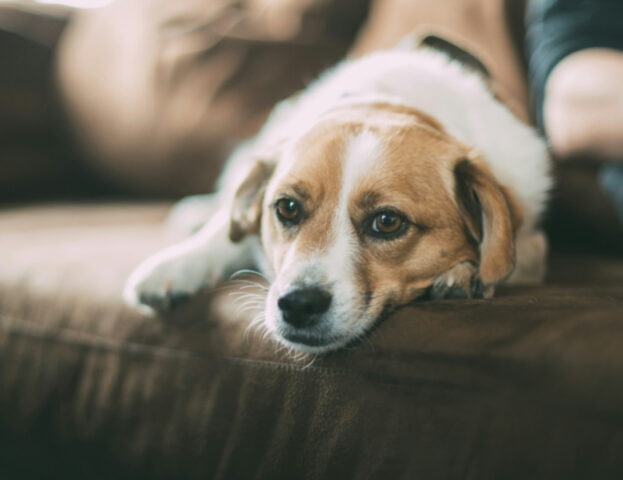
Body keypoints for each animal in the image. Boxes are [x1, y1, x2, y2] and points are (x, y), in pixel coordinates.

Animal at [122, 40, 552, 352]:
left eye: (387, 222)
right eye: (287, 208)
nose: (298, 305)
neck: (388, 102)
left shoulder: (531, 240)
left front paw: (464, 273)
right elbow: (223, 233)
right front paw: (175, 266)